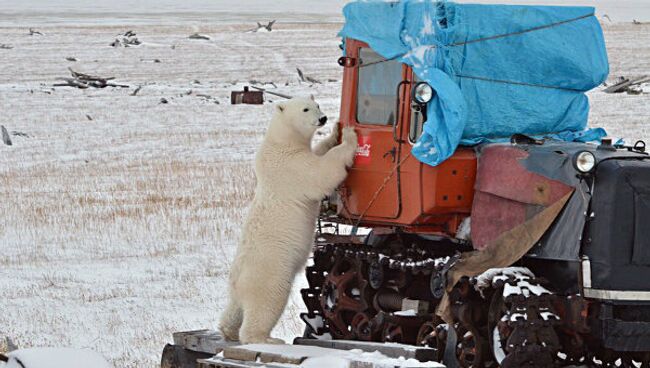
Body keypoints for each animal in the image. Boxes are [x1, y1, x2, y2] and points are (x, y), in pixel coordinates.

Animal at [220, 96, 356, 344]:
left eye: (317, 105)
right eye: (305, 109)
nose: (323, 118)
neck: (281, 142)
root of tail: (237, 284)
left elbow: (318, 153)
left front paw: (334, 134)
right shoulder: (290, 166)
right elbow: (320, 173)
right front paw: (350, 136)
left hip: (238, 287)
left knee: (233, 309)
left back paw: (228, 330)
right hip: (270, 273)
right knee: (267, 303)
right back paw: (265, 338)